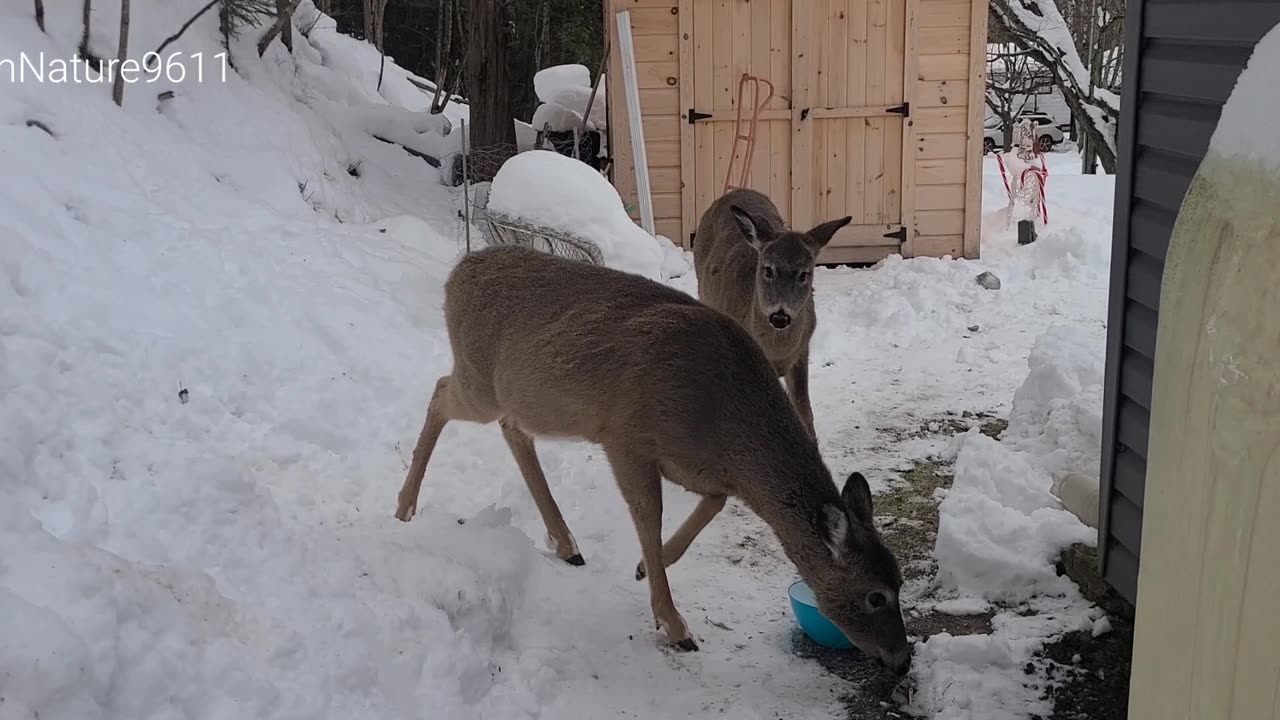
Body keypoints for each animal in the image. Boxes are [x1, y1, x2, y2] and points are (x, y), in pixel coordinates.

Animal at [394, 242, 916, 671]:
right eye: (875, 596)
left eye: (901, 581)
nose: (902, 660)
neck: (722, 422)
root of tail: (458, 271)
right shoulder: (626, 437)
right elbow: (649, 515)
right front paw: (675, 624)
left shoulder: (696, 467)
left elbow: (712, 504)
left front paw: (649, 565)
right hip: (479, 381)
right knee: (441, 392)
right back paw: (404, 507)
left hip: (527, 400)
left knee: (513, 430)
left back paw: (566, 543)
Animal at [691, 184, 849, 440]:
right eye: (767, 269)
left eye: (804, 274)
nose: (780, 316)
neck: (776, 352)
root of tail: (736, 190)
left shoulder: (802, 350)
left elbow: (804, 410)